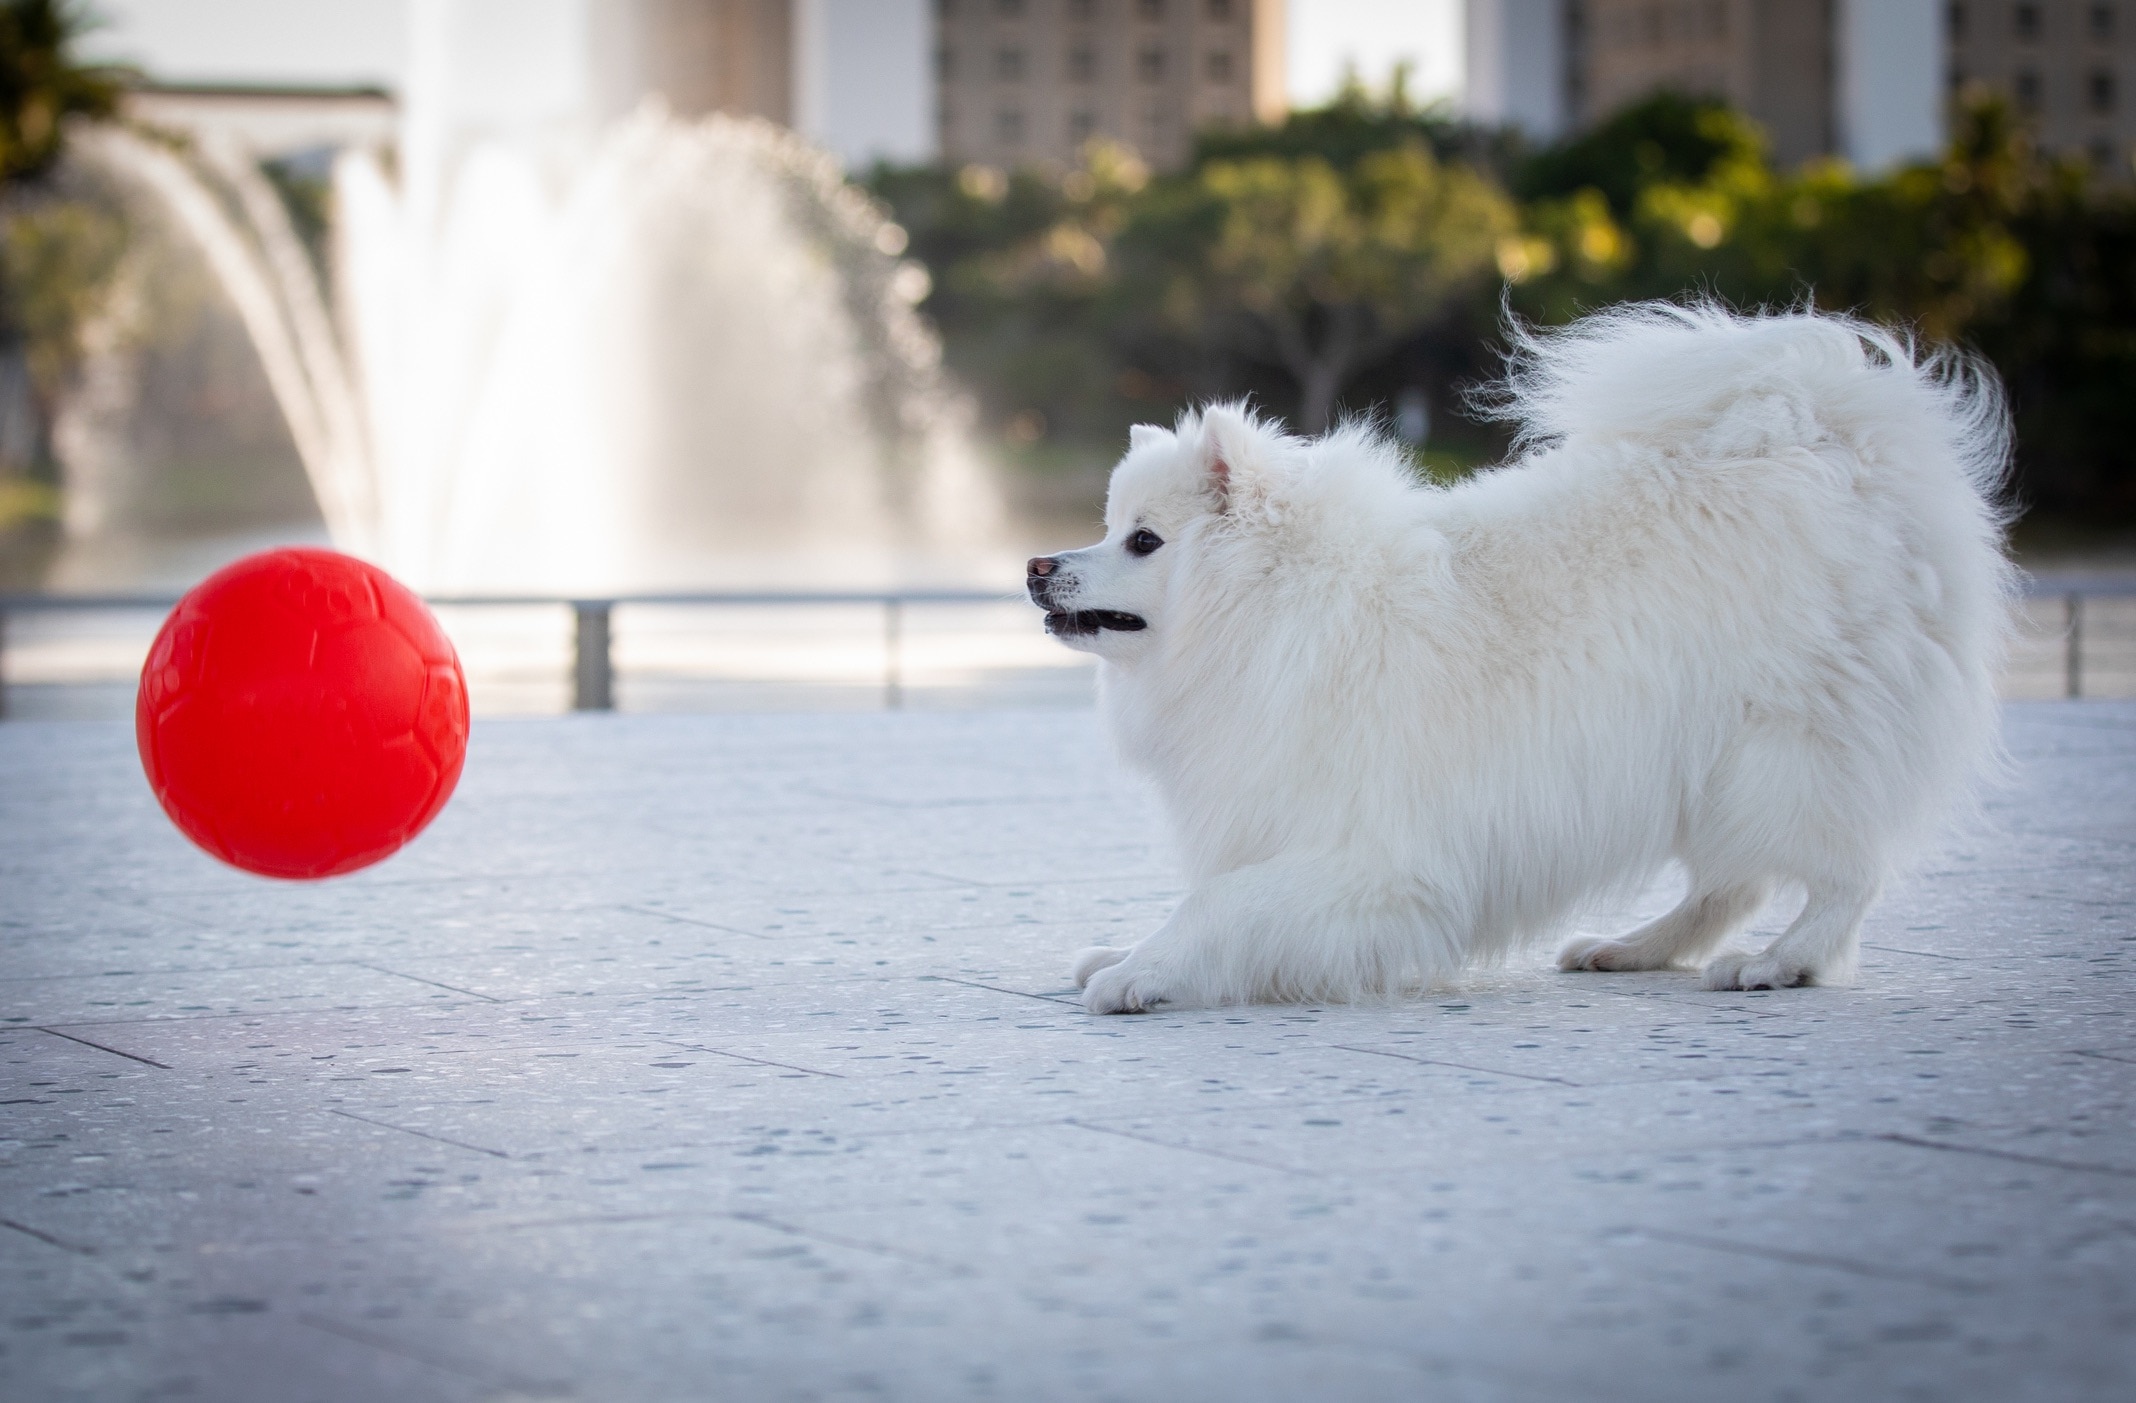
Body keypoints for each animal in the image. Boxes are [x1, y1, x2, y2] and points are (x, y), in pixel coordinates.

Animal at [1025, 307, 2007, 1012]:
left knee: (1844, 873)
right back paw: (1631, 947)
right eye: (1108, 527)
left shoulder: (1378, 861)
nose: (1036, 566)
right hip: (1704, 764)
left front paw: (1141, 973)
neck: (1283, 609)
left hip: (1782, 751)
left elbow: (1220, 903)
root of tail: (1837, 443)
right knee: (1731, 883)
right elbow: (1219, 900)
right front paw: (1130, 951)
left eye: (1144, 540)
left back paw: (1782, 963)